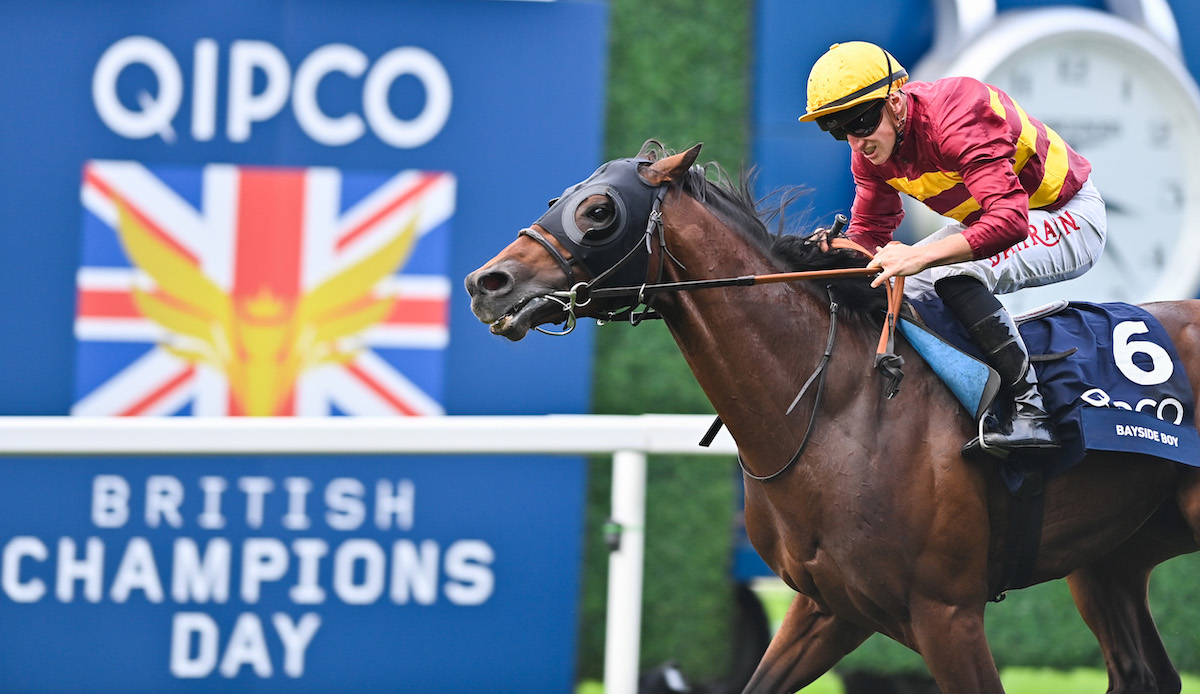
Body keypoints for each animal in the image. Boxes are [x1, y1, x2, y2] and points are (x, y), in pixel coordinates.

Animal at [463, 141, 1200, 691]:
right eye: (557, 200)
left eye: (598, 210)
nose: (485, 283)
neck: (841, 413)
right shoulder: (828, 606)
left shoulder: (948, 613)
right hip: (1111, 557)